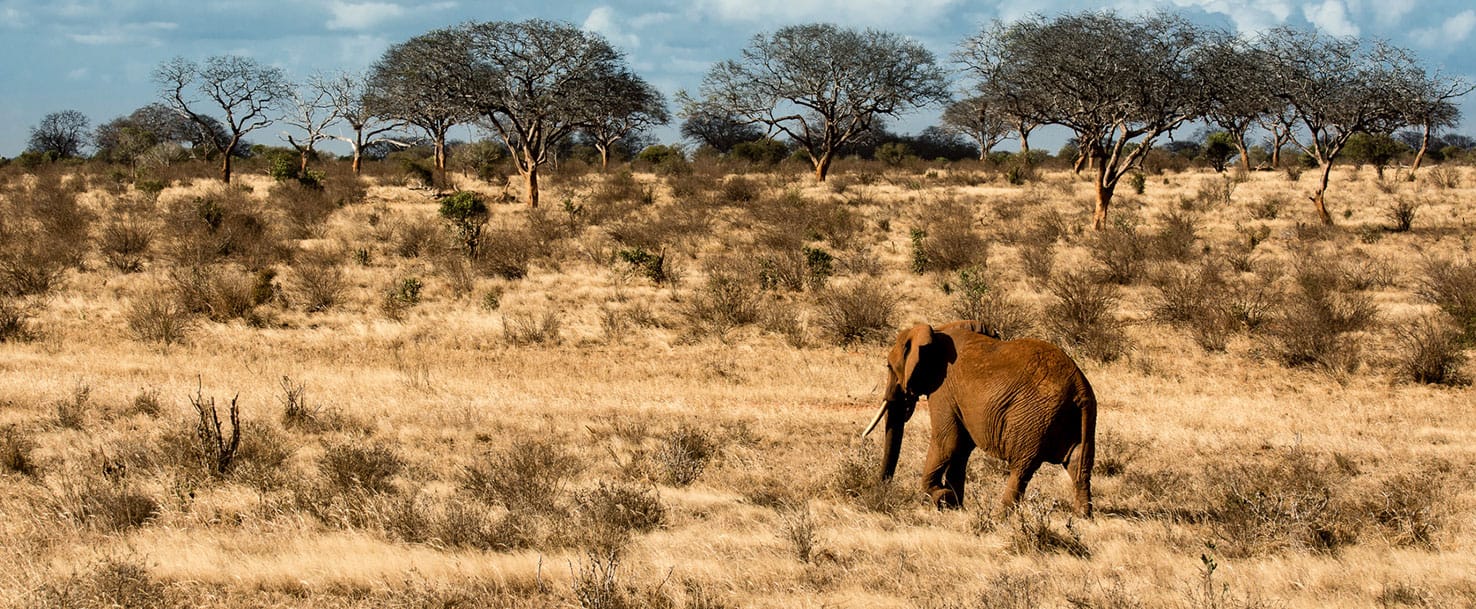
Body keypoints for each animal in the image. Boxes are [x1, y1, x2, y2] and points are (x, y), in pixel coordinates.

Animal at [861, 320, 1097, 516]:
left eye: (889, 367)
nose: (881, 489)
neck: (936, 332)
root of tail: (1078, 386)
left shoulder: (943, 390)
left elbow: (947, 443)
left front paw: (942, 498)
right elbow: (961, 448)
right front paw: (953, 505)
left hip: (1034, 419)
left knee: (1022, 467)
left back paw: (1001, 517)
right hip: (1080, 418)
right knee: (1079, 465)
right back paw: (1083, 517)